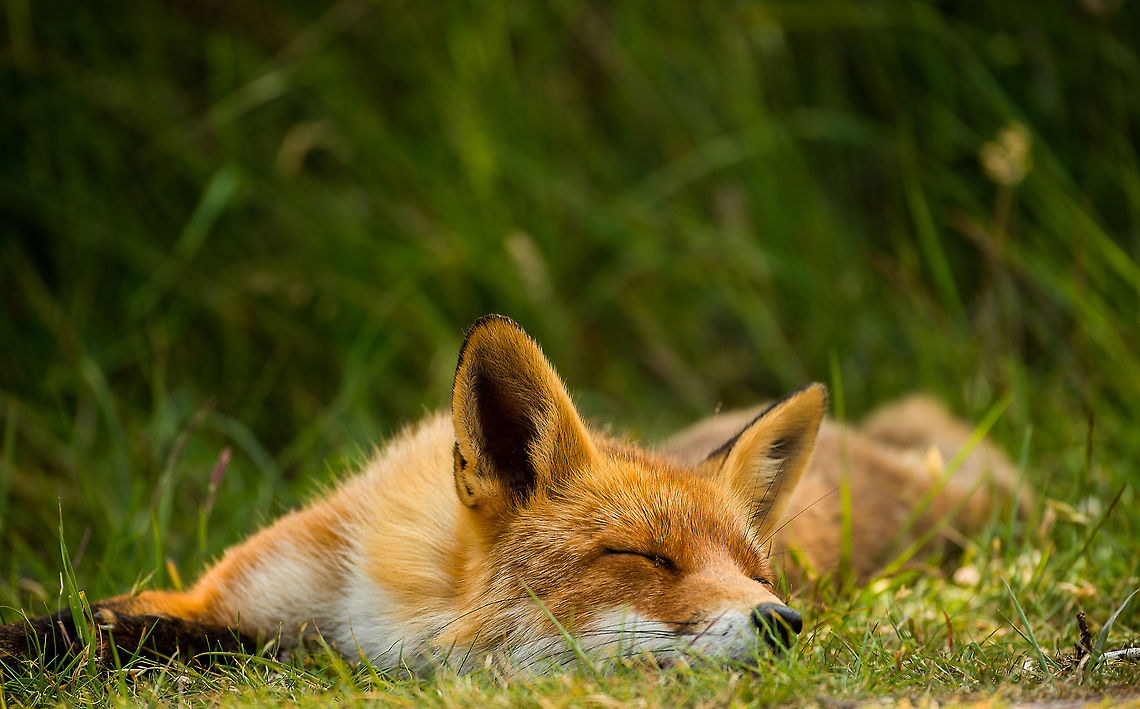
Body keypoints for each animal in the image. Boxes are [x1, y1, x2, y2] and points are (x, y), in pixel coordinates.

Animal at [0, 315, 1028, 671]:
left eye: (758, 572)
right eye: (642, 555)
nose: (783, 621)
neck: (396, 609)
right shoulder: (231, 594)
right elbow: (80, 623)